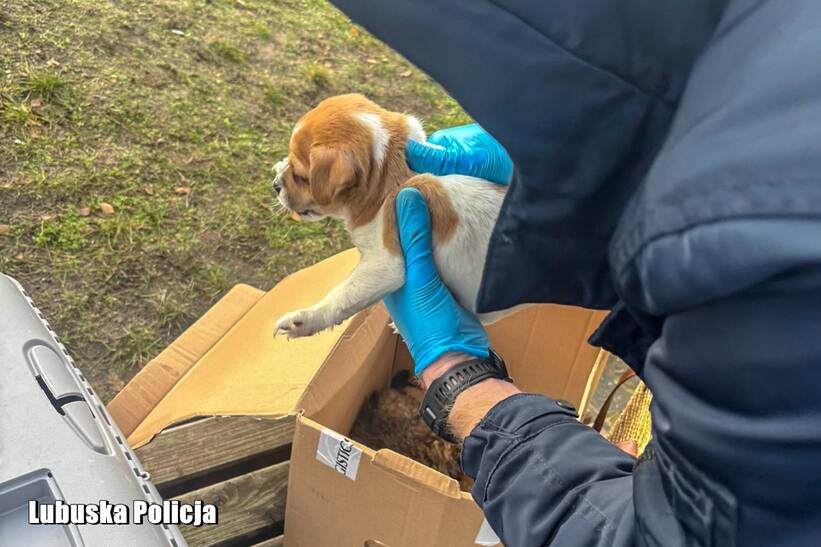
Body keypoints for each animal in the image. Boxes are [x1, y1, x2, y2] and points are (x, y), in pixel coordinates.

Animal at [274, 96, 520, 340]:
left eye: (300, 177)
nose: (275, 185)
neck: (390, 173)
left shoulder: (385, 264)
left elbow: (341, 294)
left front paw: (305, 319)